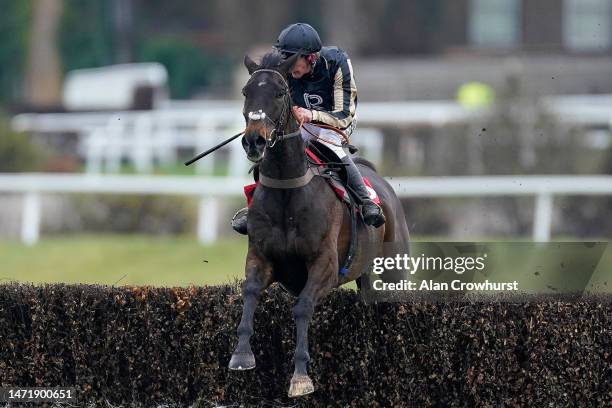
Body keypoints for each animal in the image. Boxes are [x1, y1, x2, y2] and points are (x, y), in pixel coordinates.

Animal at [227, 49, 408, 396]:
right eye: (246, 91)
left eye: (280, 93)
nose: (254, 141)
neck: (288, 191)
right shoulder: (261, 256)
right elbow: (250, 292)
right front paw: (241, 355)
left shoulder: (324, 265)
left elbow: (302, 308)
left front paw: (300, 377)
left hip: (395, 267)